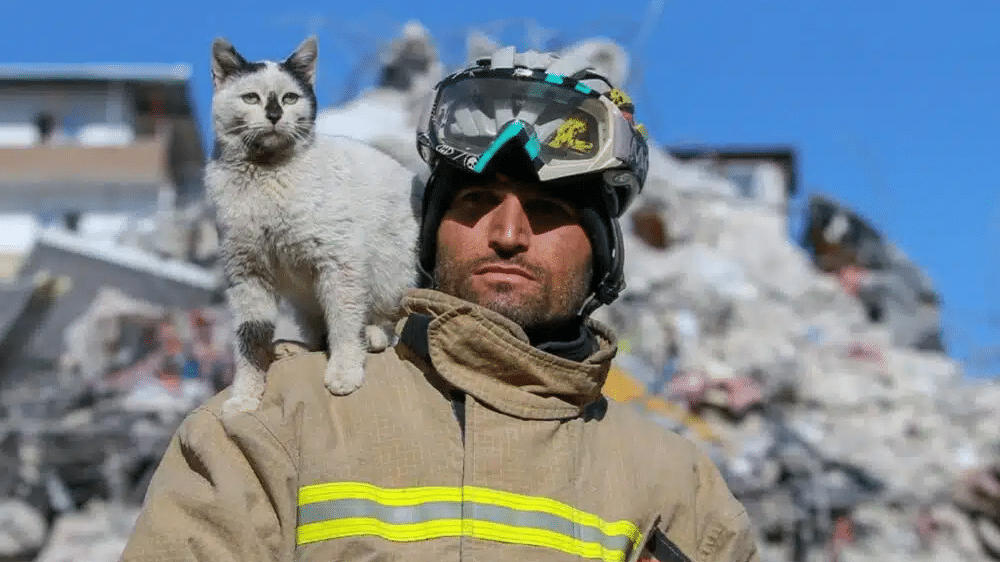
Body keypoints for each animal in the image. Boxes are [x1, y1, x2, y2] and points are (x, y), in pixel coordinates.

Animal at [207, 34, 418, 412]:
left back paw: (372, 336)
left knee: (386, 319)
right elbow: (249, 341)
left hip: (391, 272)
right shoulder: (246, 274)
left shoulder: (340, 262)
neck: (266, 175)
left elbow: (344, 322)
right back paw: (289, 348)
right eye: (251, 97)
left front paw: (344, 372)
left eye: (290, 98)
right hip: (304, 299)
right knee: (315, 333)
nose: (274, 114)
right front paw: (245, 397)